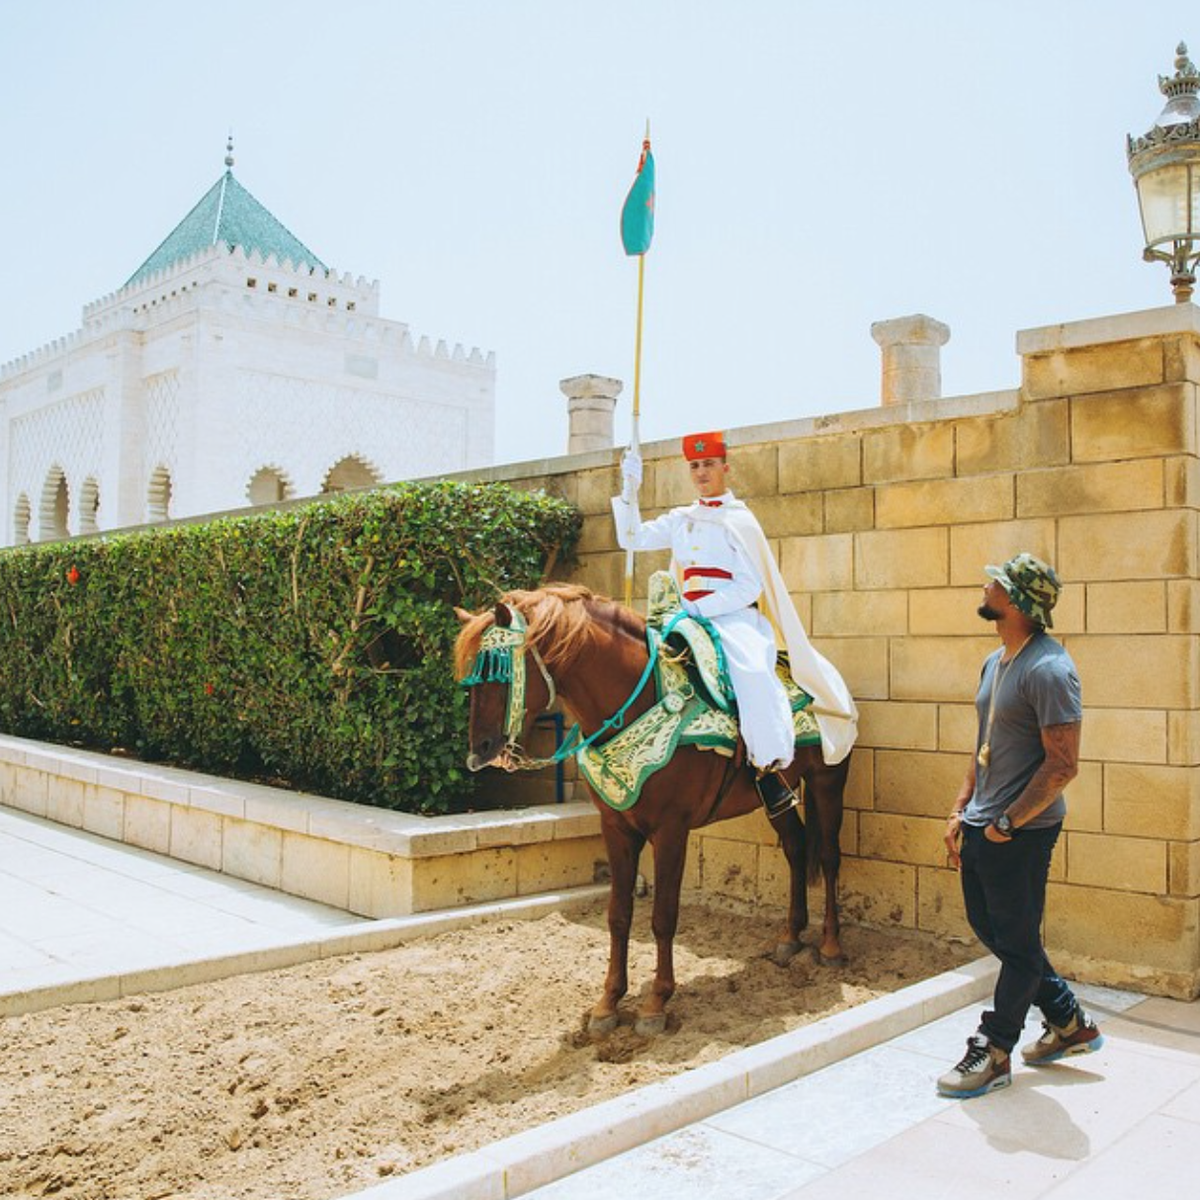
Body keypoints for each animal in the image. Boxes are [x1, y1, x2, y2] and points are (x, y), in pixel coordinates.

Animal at [451, 585, 854, 1036]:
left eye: (498, 672)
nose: (479, 753)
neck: (640, 701)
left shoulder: (670, 831)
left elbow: (663, 916)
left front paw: (656, 1003)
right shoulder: (616, 828)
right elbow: (618, 914)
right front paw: (607, 1005)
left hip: (827, 780)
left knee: (828, 856)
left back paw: (831, 946)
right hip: (778, 796)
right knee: (796, 848)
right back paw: (790, 938)